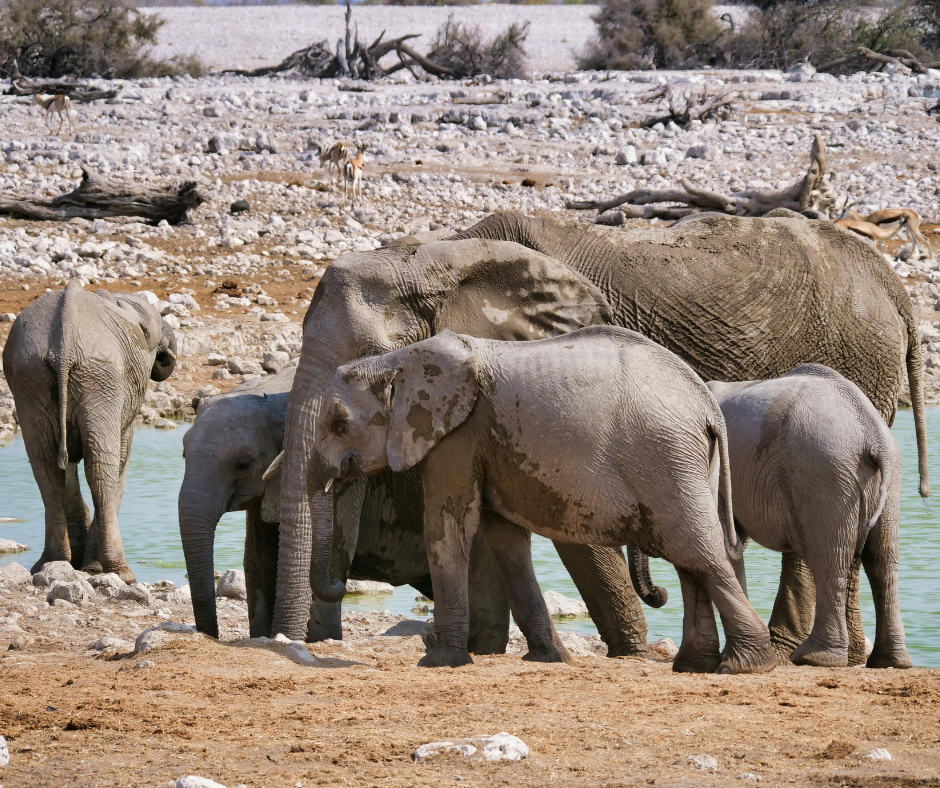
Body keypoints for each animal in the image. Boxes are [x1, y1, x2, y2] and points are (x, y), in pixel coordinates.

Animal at [3, 279, 177, 582]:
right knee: (99, 468)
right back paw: (120, 572)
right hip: (99, 376)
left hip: (33, 377)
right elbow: (120, 458)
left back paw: (52, 563)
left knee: (47, 467)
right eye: (151, 336)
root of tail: (62, 348)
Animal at [312, 327, 776, 673]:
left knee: (697, 552)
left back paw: (744, 666)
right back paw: (694, 666)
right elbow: (504, 539)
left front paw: (439, 662)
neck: (395, 359)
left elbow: (449, 526)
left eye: (340, 425)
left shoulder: (455, 436)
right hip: (684, 461)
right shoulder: (482, 443)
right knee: (689, 559)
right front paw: (549, 658)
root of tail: (708, 406)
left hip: (665, 457)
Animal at [701, 365, 910, 669]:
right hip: (887, 476)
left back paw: (814, 658)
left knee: (830, 557)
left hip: (824, 472)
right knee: (881, 559)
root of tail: (875, 437)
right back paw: (889, 661)